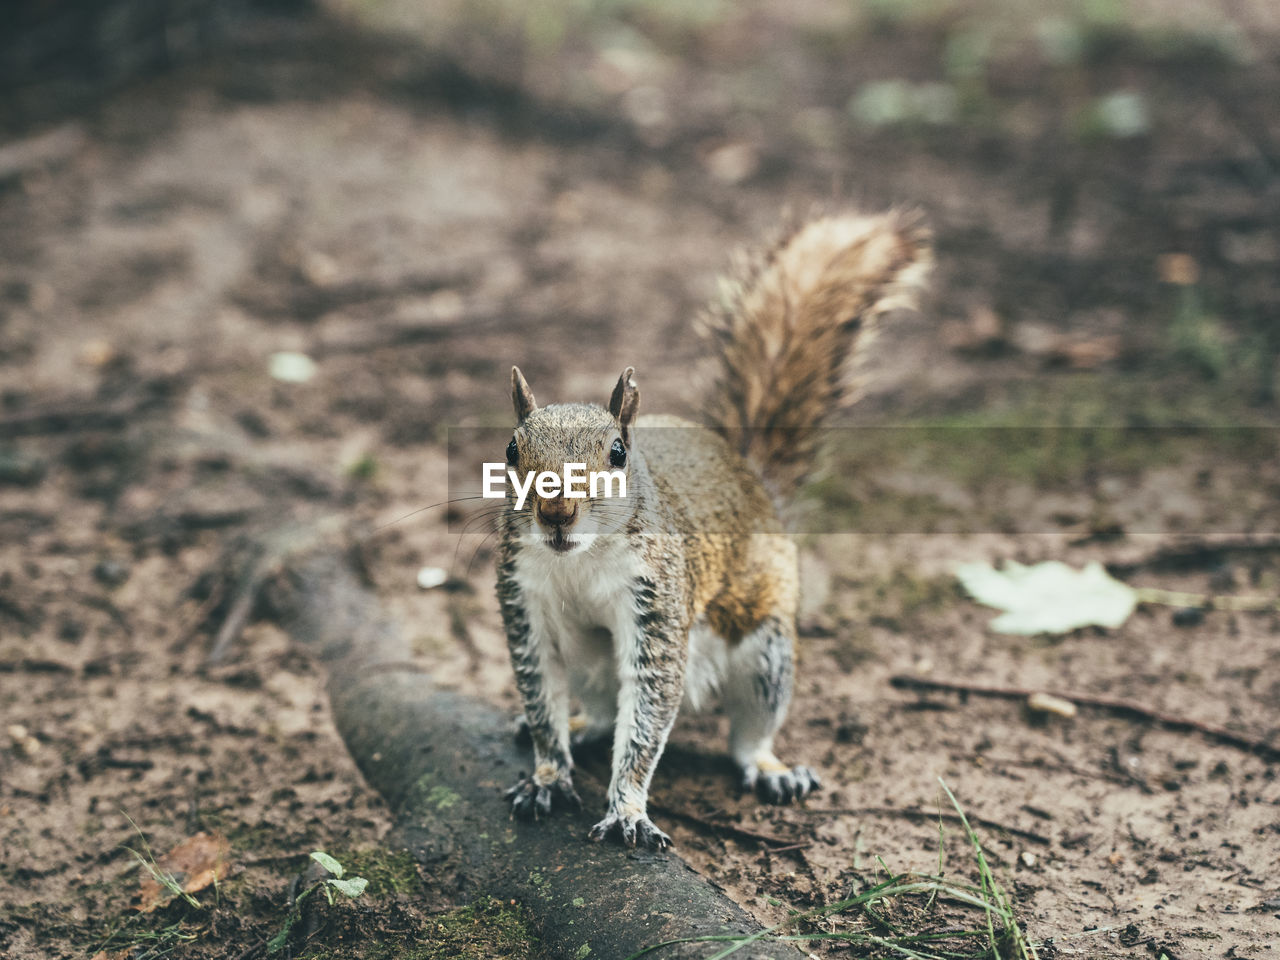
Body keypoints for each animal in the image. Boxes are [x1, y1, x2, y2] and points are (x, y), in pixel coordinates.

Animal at [496, 209, 931, 849]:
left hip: (764, 647)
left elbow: (647, 713)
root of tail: (746, 473)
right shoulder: (526, 603)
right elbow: (540, 692)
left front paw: (628, 809)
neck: (578, 559)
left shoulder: (658, 604)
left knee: (748, 732)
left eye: (618, 452)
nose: (555, 513)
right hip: (591, 661)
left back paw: (771, 768)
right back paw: (576, 726)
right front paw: (547, 775)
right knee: (601, 712)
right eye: (510, 449)